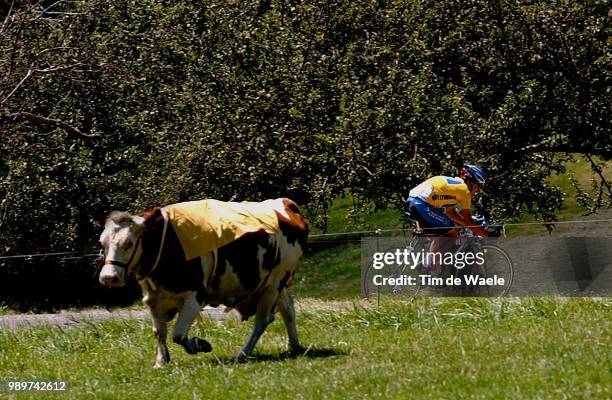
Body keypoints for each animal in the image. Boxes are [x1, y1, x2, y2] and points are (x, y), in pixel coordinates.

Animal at [98, 198, 308, 368]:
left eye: (129, 243)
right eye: (103, 243)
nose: (109, 277)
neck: (165, 245)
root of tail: (287, 204)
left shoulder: (195, 296)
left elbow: (178, 334)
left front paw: (200, 345)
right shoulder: (152, 299)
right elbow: (159, 332)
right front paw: (161, 362)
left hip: (274, 284)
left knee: (262, 320)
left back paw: (243, 353)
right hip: (275, 284)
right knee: (288, 310)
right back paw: (293, 346)